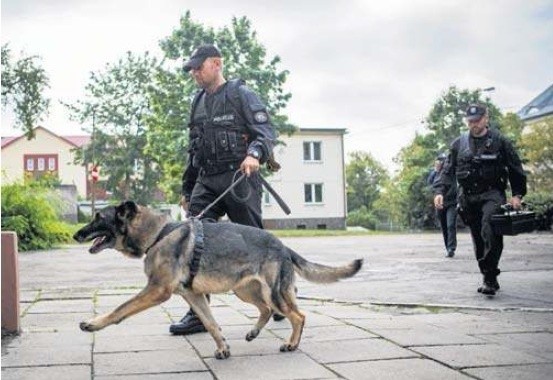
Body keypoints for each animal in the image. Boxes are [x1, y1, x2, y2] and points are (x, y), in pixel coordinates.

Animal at [73, 202, 362, 360]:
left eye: (98, 218)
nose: (76, 235)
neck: (158, 233)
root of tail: (283, 245)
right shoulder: (193, 295)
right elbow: (211, 324)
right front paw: (223, 348)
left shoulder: (156, 290)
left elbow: (120, 308)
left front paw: (94, 323)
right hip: (244, 291)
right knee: (267, 310)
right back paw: (254, 332)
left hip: (272, 293)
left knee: (297, 316)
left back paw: (291, 343)